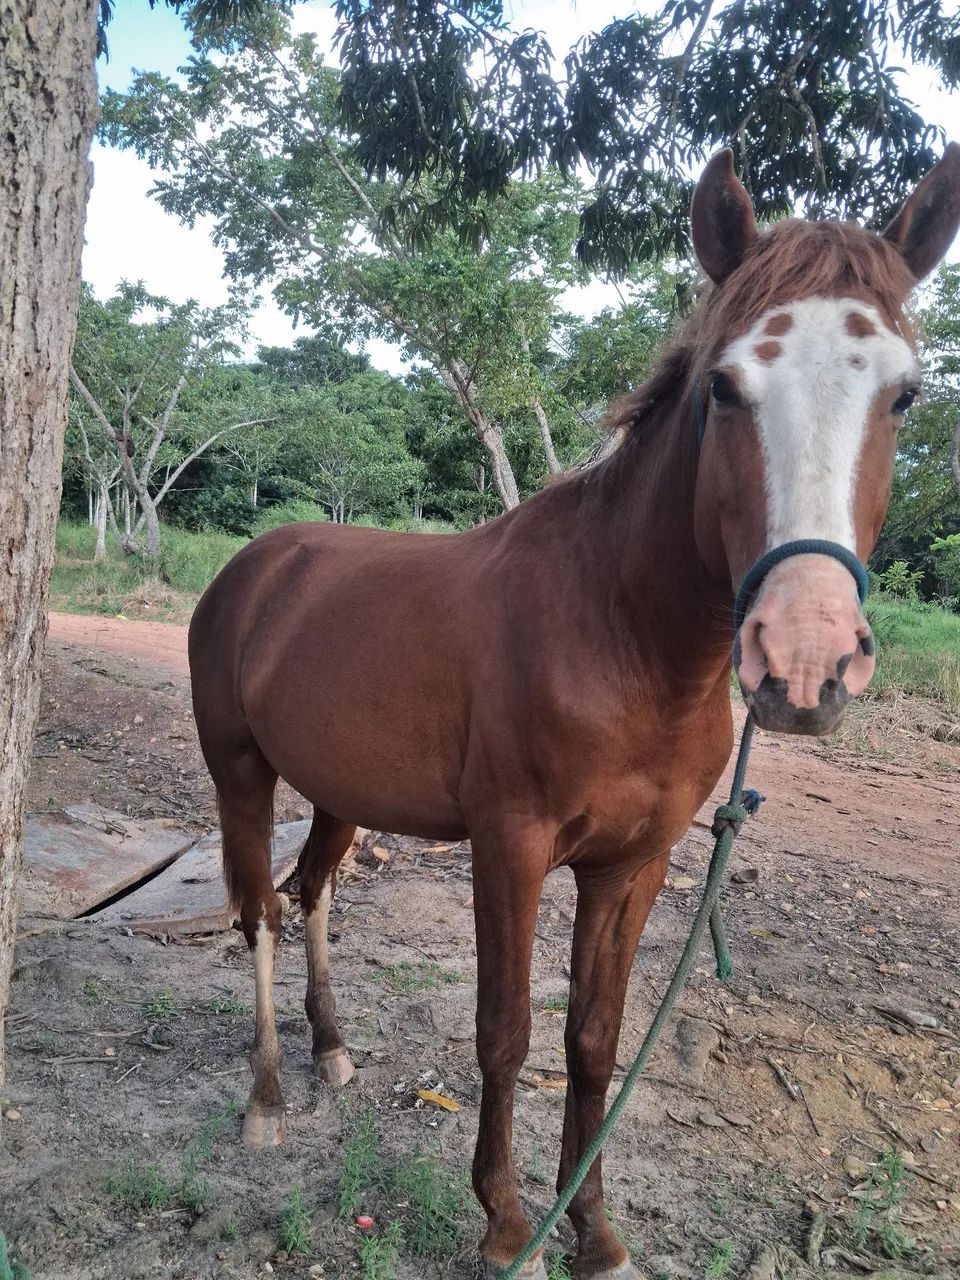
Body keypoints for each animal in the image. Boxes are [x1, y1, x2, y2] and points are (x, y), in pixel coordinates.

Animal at [189, 145, 960, 1280]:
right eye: (724, 386)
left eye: (903, 395)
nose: (805, 657)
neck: (621, 636)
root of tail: (259, 565)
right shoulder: (509, 846)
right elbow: (504, 1029)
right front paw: (508, 1224)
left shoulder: (633, 862)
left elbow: (593, 1037)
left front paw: (592, 1230)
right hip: (240, 774)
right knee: (261, 913)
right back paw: (266, 1098)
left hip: (339, 792)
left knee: (312, 891)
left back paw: (330, 1051)